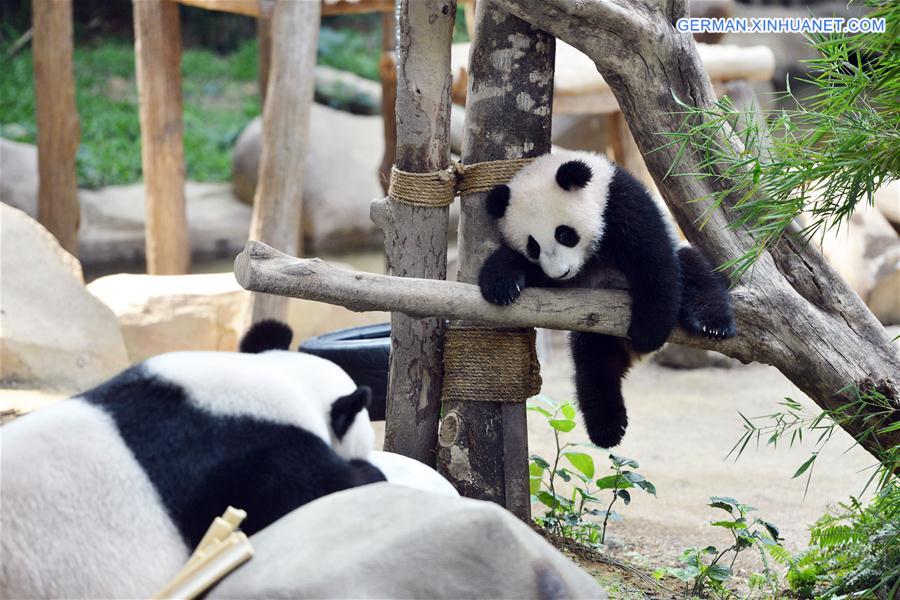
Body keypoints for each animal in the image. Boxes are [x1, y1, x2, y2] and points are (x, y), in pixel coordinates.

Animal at [482, 152, 736, 448]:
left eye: (564, 234)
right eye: (533, 246)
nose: (561, 272)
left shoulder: (621, 204)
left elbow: (654, 263)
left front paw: (648, 333)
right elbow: (520, 267)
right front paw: (501, 285)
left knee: (694, 269)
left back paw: (711, 324)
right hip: (595, 334)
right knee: (594, 365)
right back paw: (607, 428)